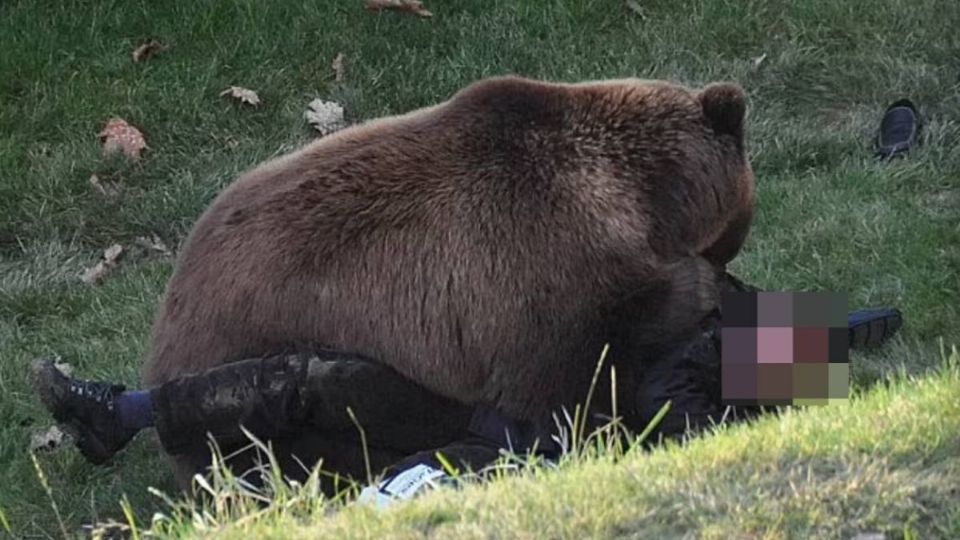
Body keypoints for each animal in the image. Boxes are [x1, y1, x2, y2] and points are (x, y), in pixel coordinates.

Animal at [142, 75, 756, 486]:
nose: (726, 266)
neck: (637, 193)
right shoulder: (542, 264)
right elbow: (579, 370)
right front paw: (698, 291)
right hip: (260, 355)